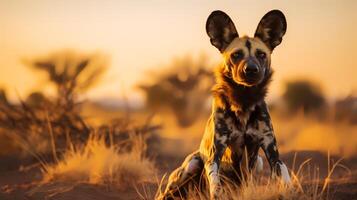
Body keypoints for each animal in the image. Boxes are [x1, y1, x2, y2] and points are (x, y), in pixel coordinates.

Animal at [158, 9, 290, 200]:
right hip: (192, 164)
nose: (251, 70)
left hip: (258, 162)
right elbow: (216, 184)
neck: (244, 100)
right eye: (236, 55)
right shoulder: (215, 154)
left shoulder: (271, 150)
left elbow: (284, 173)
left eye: (261, 54)